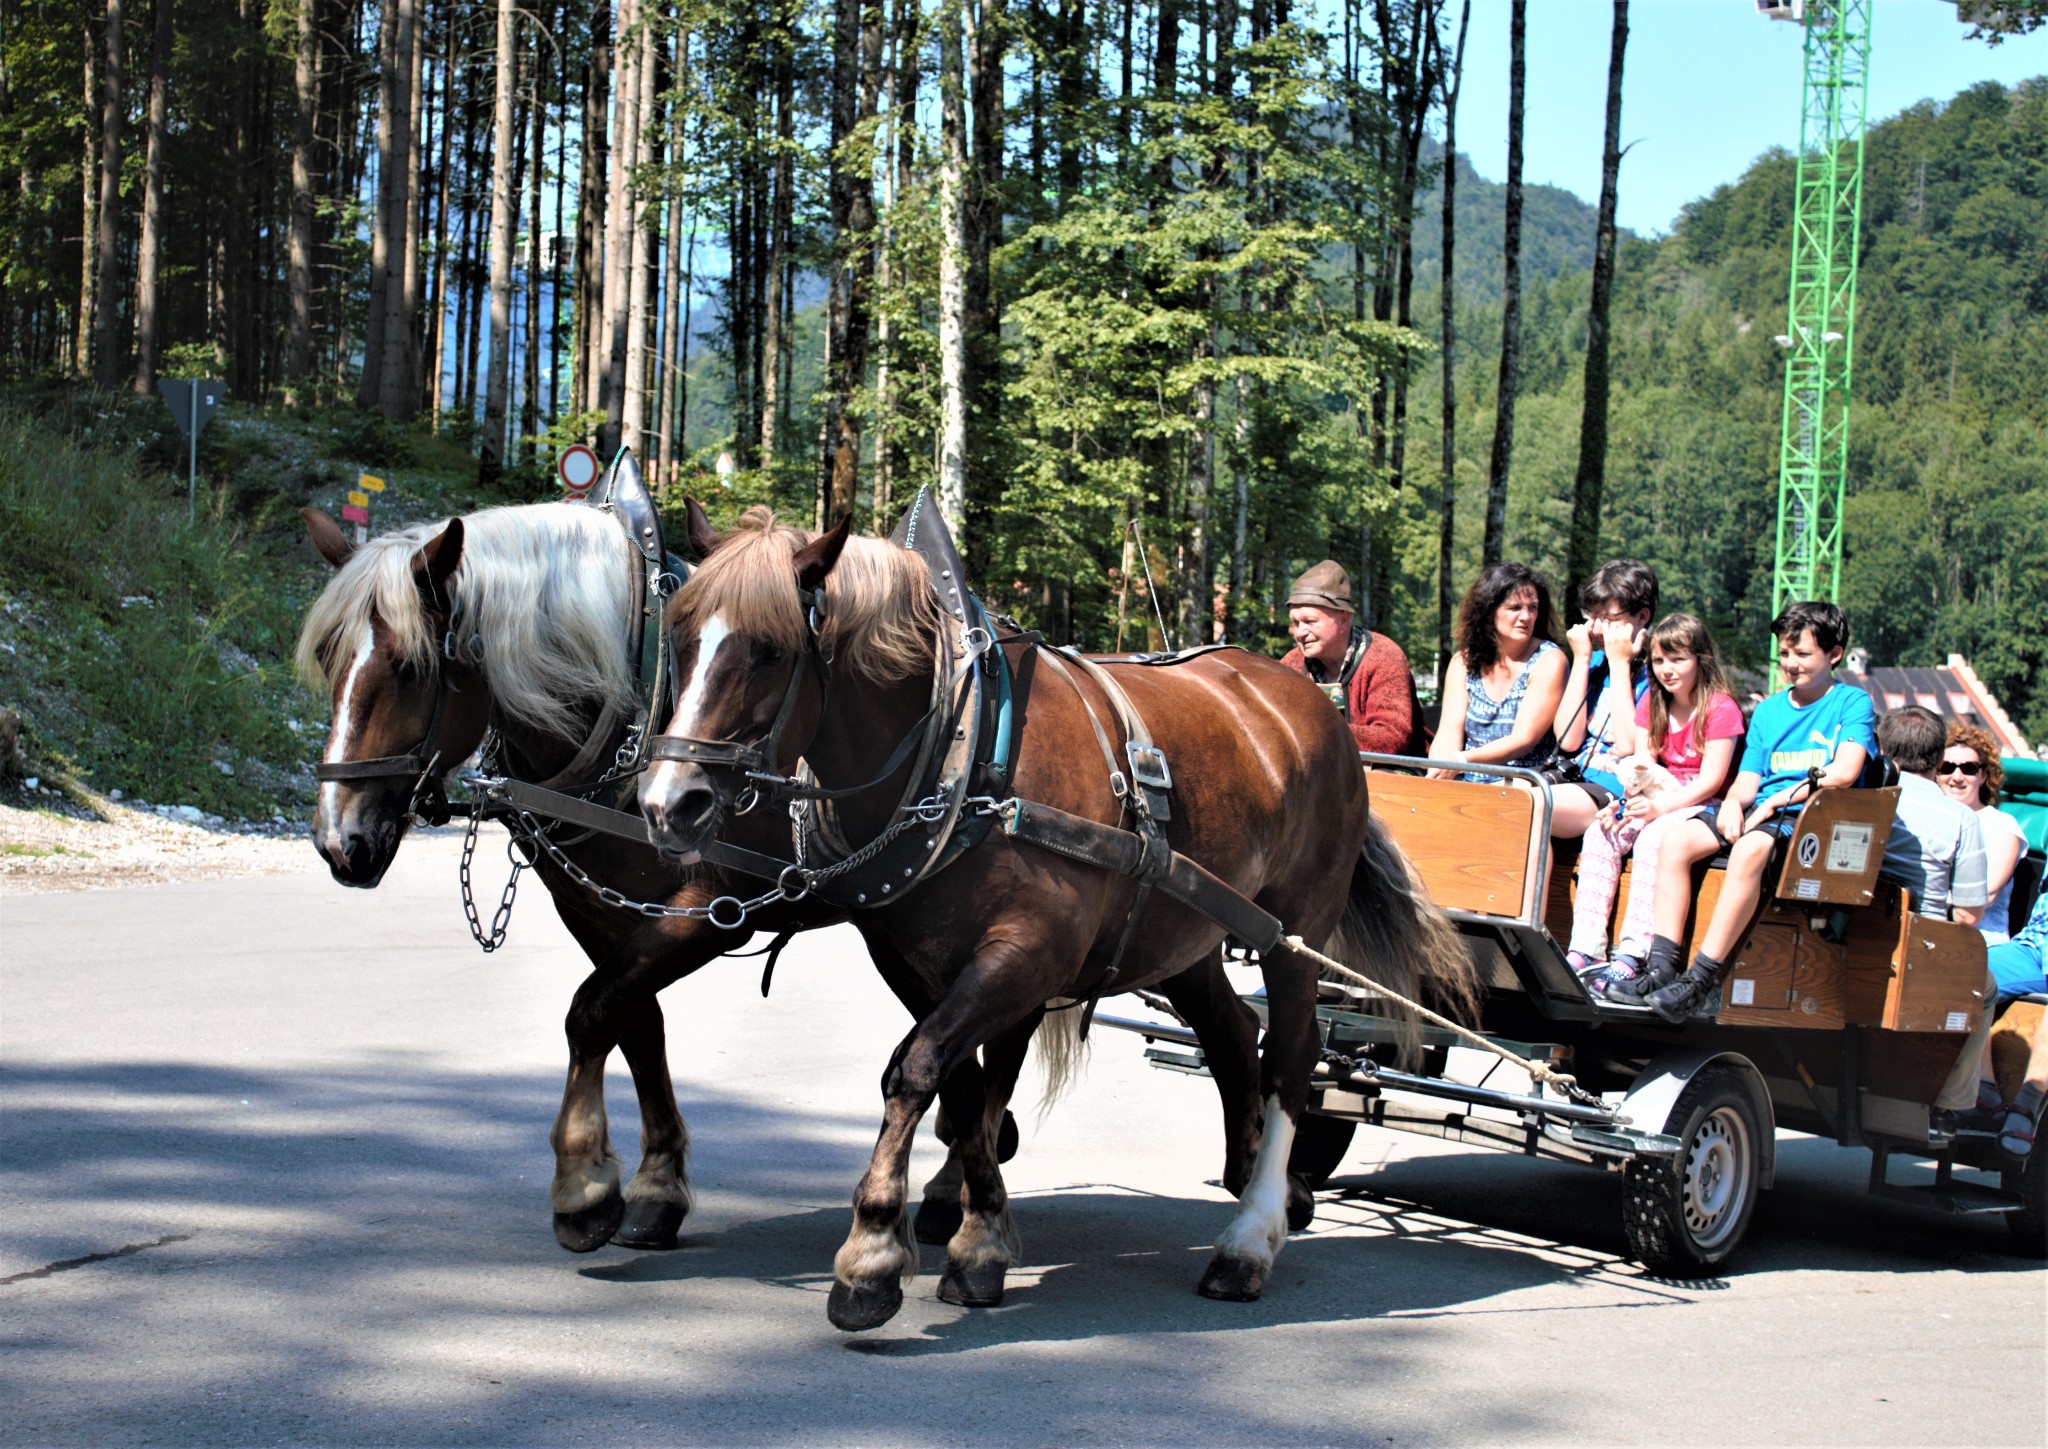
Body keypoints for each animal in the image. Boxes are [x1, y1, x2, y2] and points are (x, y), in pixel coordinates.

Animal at [290, 501, 1261, 1252]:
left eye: (409, 667)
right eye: (329, 659)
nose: (341, 842)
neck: (637, 705)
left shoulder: (700, 911)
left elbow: (592, 1012)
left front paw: (589, 1188)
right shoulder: (606, 917)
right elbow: (633, 1026)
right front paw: (653, 1188)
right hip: (1154, 933)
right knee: (1189, 1022)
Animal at [638, 509, 1474, 1334]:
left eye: (770, 650)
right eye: (678, 634)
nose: (668, 802)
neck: (969, 749)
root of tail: (1304, 699)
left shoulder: (1026, 953)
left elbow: (919, 1070)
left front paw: (872, 1252)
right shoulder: (913, 959)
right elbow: (961, 1086)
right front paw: (977, 1241)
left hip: (1297, 927)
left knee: (1292, 1054)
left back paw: (1251, 1234)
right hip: (1188, 929)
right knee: (1235, 1031)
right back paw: (1256, 1175)